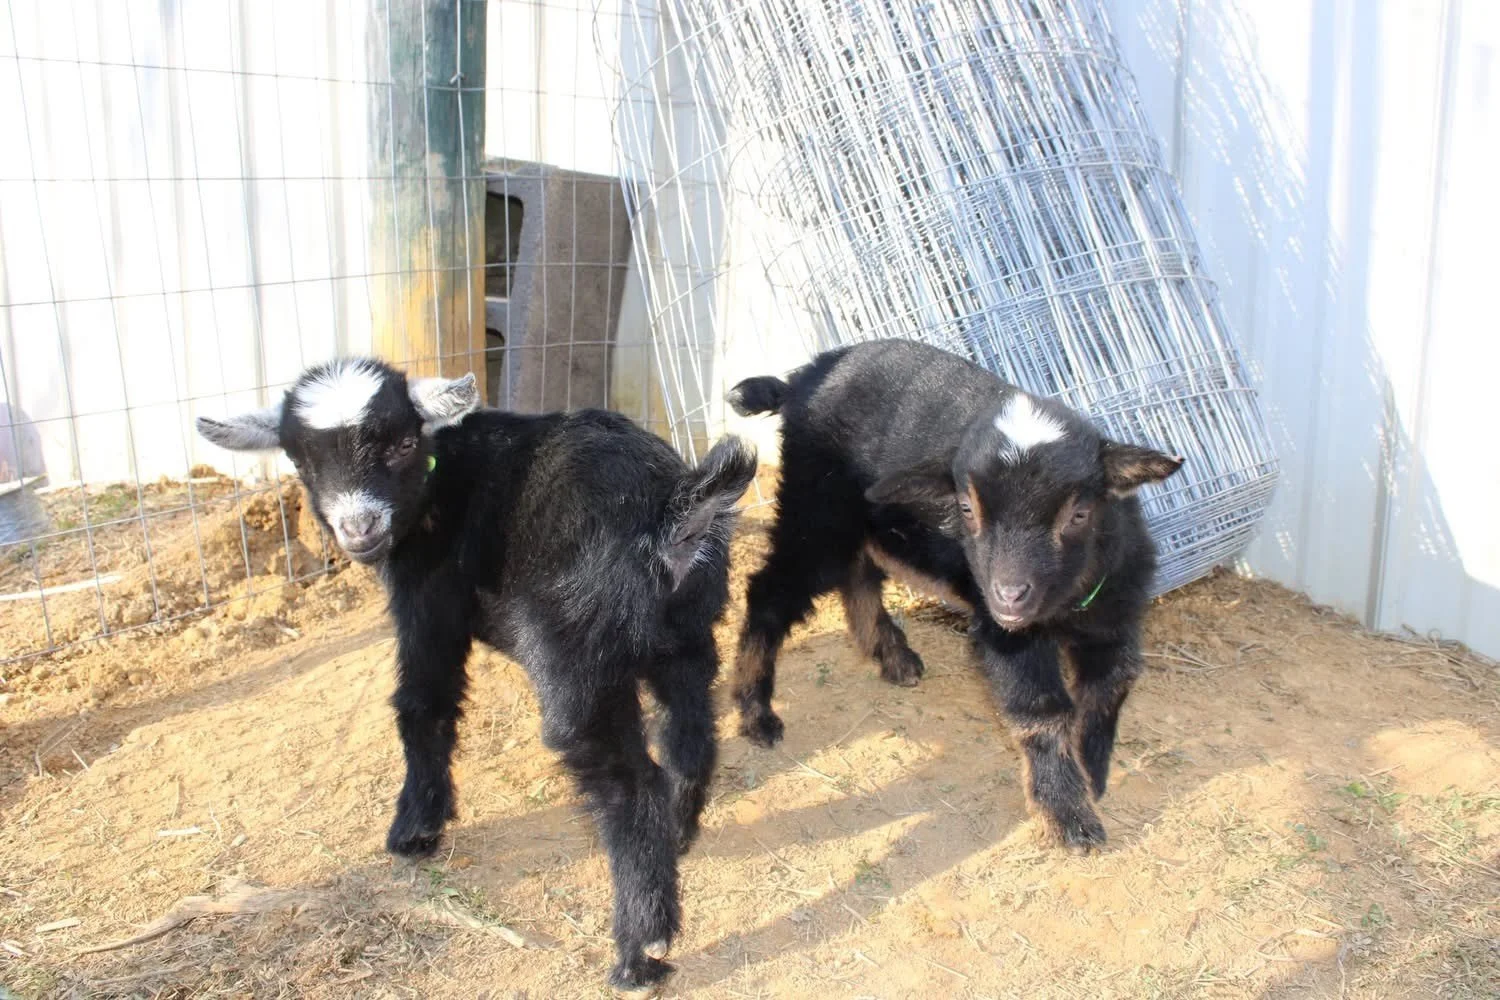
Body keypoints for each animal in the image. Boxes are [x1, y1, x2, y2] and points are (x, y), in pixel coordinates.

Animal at [198, 358, 756, 993]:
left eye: (404, 443)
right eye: (300, 458)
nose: (359, 528)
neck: (444, 478)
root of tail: (671, 514)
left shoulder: (429, 600)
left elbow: (422, 702)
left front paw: (417, 826)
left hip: (579, 661)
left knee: (629, 781)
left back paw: (642, 950)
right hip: (686, 634)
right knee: (691, 730)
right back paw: (680, 833)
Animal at [726, 339, 1182, 851]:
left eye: (1079, 514)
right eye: (966, 508)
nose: (1008, 595)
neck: (1065, 604)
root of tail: (802, 377)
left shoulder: (1117, 612)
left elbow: (1110, 689)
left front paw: (1093, 776)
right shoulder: (1005, 635)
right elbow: (1041, 711)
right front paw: (1068, 816)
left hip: (859, 517)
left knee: (858, 572)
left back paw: (892, 656)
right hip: (815, 510)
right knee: (770, 592)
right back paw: (755, 711)